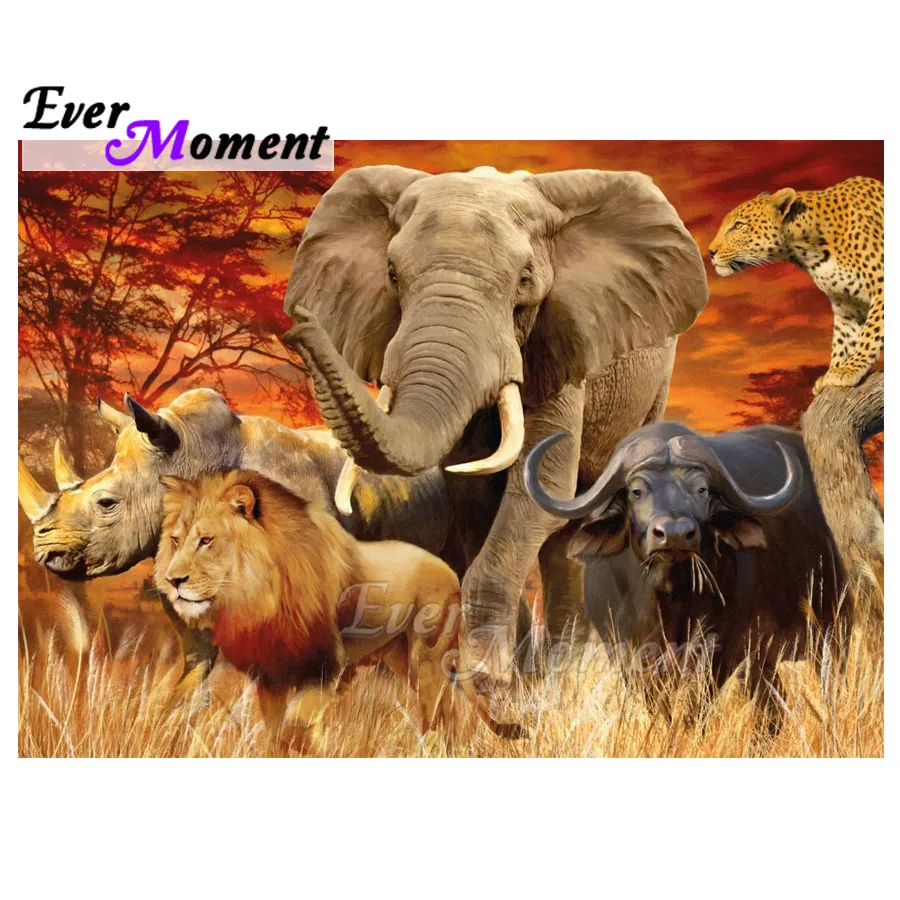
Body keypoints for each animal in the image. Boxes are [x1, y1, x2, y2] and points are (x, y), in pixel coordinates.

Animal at [154, 469, 524, 753]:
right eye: (175, 540)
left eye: (206, 541)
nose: (173, 580)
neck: (261, 597)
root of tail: (450, 572)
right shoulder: (272, 675)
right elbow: (276, 736)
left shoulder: (325, 667)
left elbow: (296, 728)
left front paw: (317, 746)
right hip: (403, 659)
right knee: (446, 711)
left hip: (428, 660)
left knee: (434, 716)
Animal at [281, 165, 708, 687]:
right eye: (392, 275)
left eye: (524, 280)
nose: (300, 325)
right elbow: (475, 496)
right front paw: (501, 678)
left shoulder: (560, 345)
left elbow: (538, 494)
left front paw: (485, 677)